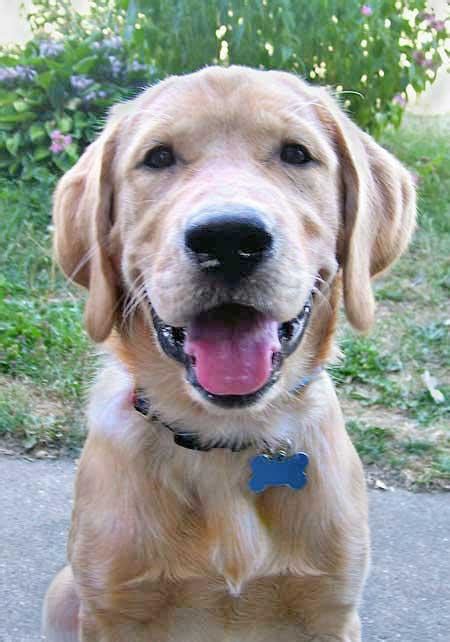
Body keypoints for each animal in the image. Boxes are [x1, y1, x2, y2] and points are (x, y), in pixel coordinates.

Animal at [42, 66, 414, 640]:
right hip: (64, 592)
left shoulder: (332, 611)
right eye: (158, 158)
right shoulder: (112, 610)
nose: (228, 239)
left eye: (296, 154)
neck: (225, 439)